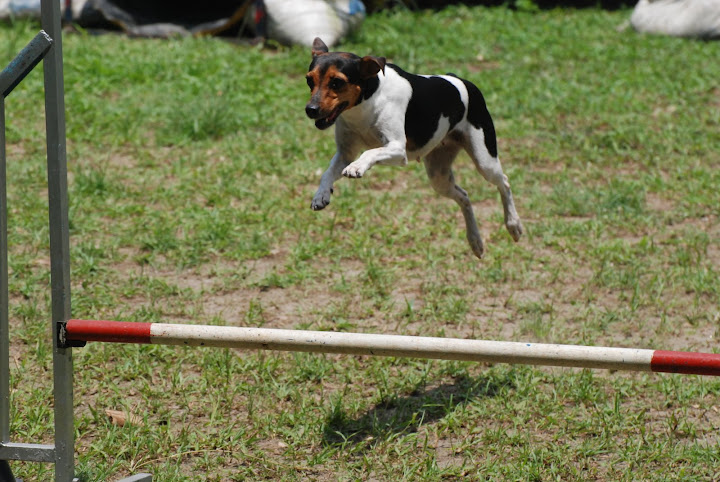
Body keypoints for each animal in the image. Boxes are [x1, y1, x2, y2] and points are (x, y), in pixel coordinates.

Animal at [304, 36, 524, 260]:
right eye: (309, 80)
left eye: (337, 82)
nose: (310, 110)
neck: (367, 102)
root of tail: (461, 81)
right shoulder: (345, 153)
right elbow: (327, 173)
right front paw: (321, 194)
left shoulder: (398, 150)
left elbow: (370, 151)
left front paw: (357, 167)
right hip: (438, 176)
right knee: (464, 197)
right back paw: (475, 241)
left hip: (484, 160)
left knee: (504, 182)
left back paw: (513, 225)